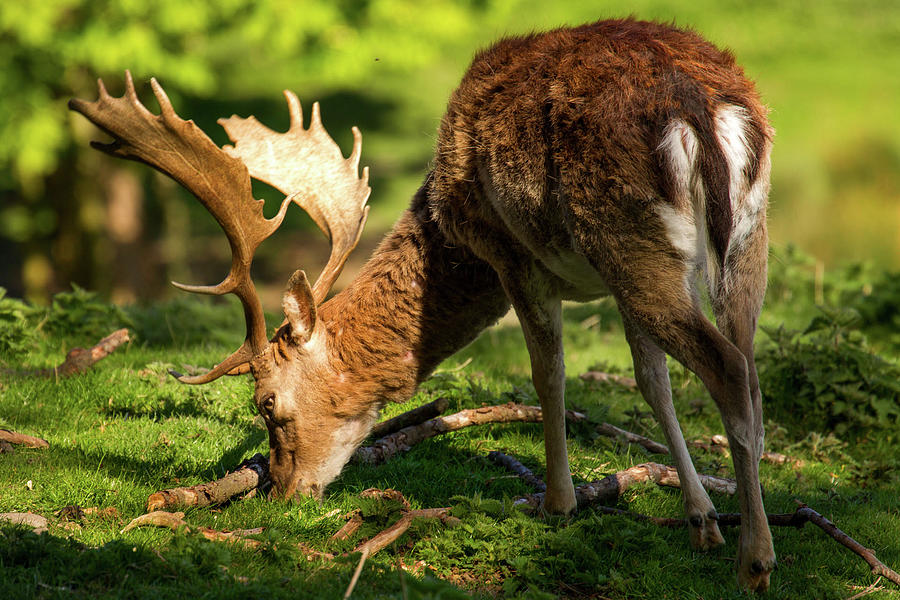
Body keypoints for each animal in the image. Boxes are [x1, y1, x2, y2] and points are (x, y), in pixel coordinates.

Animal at [68, 18, 772, 592]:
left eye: (267, 404)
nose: (284, 494)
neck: (445, 225)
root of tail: (700, 107)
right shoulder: (604, 283)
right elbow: (652, 381)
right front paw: (700, 520)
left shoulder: (513, 256)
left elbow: (549, 375)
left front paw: (559, 503)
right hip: (735, 242)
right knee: (748, 367)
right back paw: (746, 530)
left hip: (629, 237)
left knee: (728, 367)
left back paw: (755, 561)